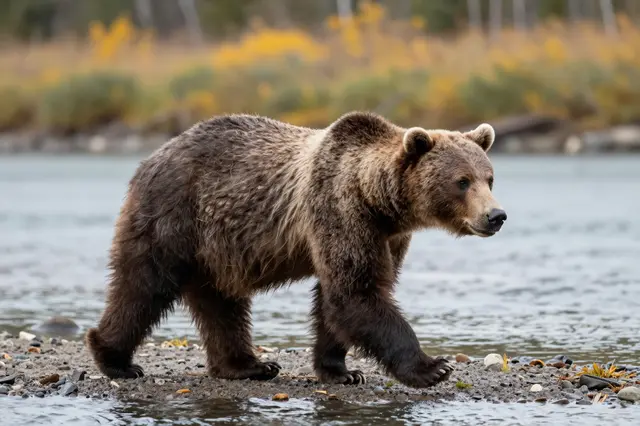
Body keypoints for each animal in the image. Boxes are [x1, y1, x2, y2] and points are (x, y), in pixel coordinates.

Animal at [86, 111, 506, 388]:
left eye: (489, 178)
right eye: (462, 181)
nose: (496, 215)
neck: (379, 201)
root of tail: (150, 158)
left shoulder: (387, 236)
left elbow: (336, 299)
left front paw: (340, 369)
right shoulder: (338, 208)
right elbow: (357, 293)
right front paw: (433, 367)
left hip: (215, 249)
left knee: (221, 304)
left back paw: (247, 365)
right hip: (173, 216)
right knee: (143, 284)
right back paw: (115, 359)